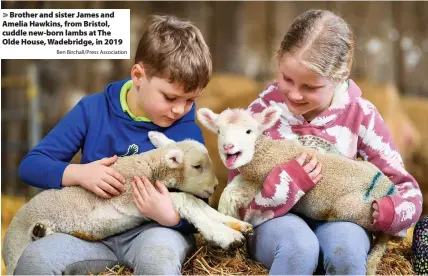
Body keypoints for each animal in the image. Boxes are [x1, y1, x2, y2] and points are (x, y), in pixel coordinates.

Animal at [1, 131, 252, 274]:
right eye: (197, 166)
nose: (215, 186)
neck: (149, 169)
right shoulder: (135, 196)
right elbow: (185, 200)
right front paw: (227, 236)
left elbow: (195, 202)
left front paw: (237, 225)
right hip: (17, 253)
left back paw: (41, 231)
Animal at [197, 105, 402, 274]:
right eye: (219, 131)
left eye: (249, 131)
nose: (228, 147)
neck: (265, 153)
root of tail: (387, 190)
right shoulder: (249, 178)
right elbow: (229, 190)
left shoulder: (259, 182)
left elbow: (232, 194)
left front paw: (231, 224)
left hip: (352, 210)